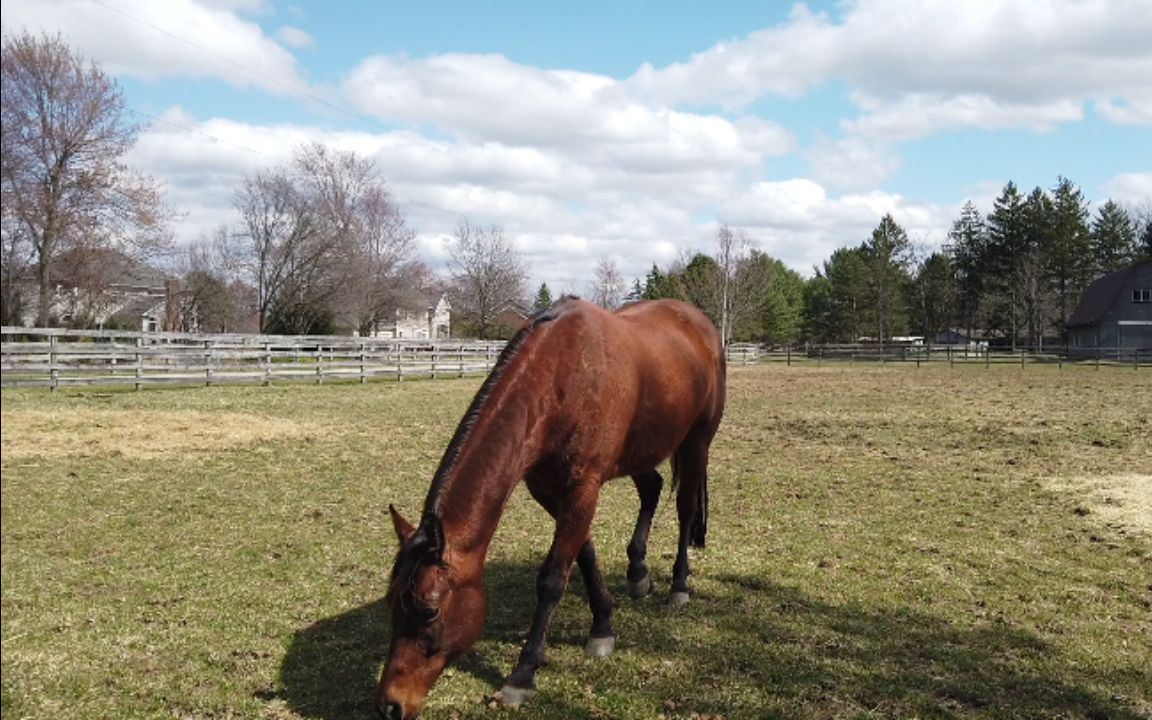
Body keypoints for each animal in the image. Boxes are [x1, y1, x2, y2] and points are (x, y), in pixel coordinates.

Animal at [377, 294, 723, 714]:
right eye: (391, 601)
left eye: (428, 610)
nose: (390, 705)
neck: (560, 378)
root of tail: (699, 323)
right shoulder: (549, 491)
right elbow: (584, 554)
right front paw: (603, 623)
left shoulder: (582, 490)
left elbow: (554, 578)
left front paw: (523, 674)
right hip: (641, 449)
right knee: (652, 490)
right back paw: (638, 572)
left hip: (697, 442)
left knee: (685, 508)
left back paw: (679, 585)